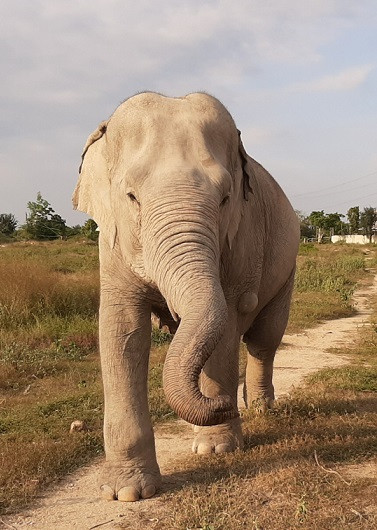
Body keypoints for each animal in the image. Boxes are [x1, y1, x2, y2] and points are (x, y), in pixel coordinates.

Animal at [72, 91, 298, 500]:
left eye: (225, 198)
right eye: (131, 196)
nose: (225, 404)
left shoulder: (241, 239)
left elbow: (226, 324)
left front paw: (217, 448)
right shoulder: (110, 245)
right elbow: (122, 332)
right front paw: (126, 493)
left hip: (289, 264)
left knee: (264, 338)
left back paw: (260, 410)